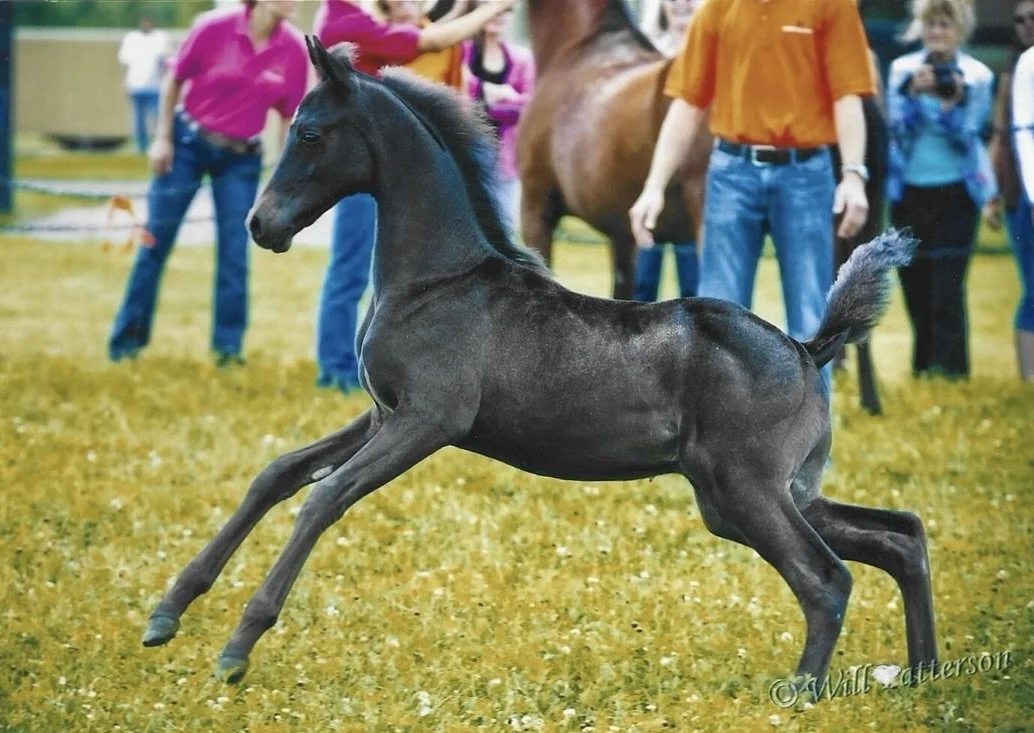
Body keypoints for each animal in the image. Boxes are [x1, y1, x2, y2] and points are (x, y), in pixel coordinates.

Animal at [141, 38, 937, 693]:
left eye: (310, 132)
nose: (261, 225)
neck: (437, 279)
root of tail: (807, 347)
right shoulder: (382, 411)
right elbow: (276, 474)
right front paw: (166, 612)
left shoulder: (428, 420)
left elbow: (322, 497)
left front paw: (237, 646)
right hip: (771, 493)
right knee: (899, 535)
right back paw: (924, 673)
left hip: (744, 491)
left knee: (826, 578)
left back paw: (802, 691)